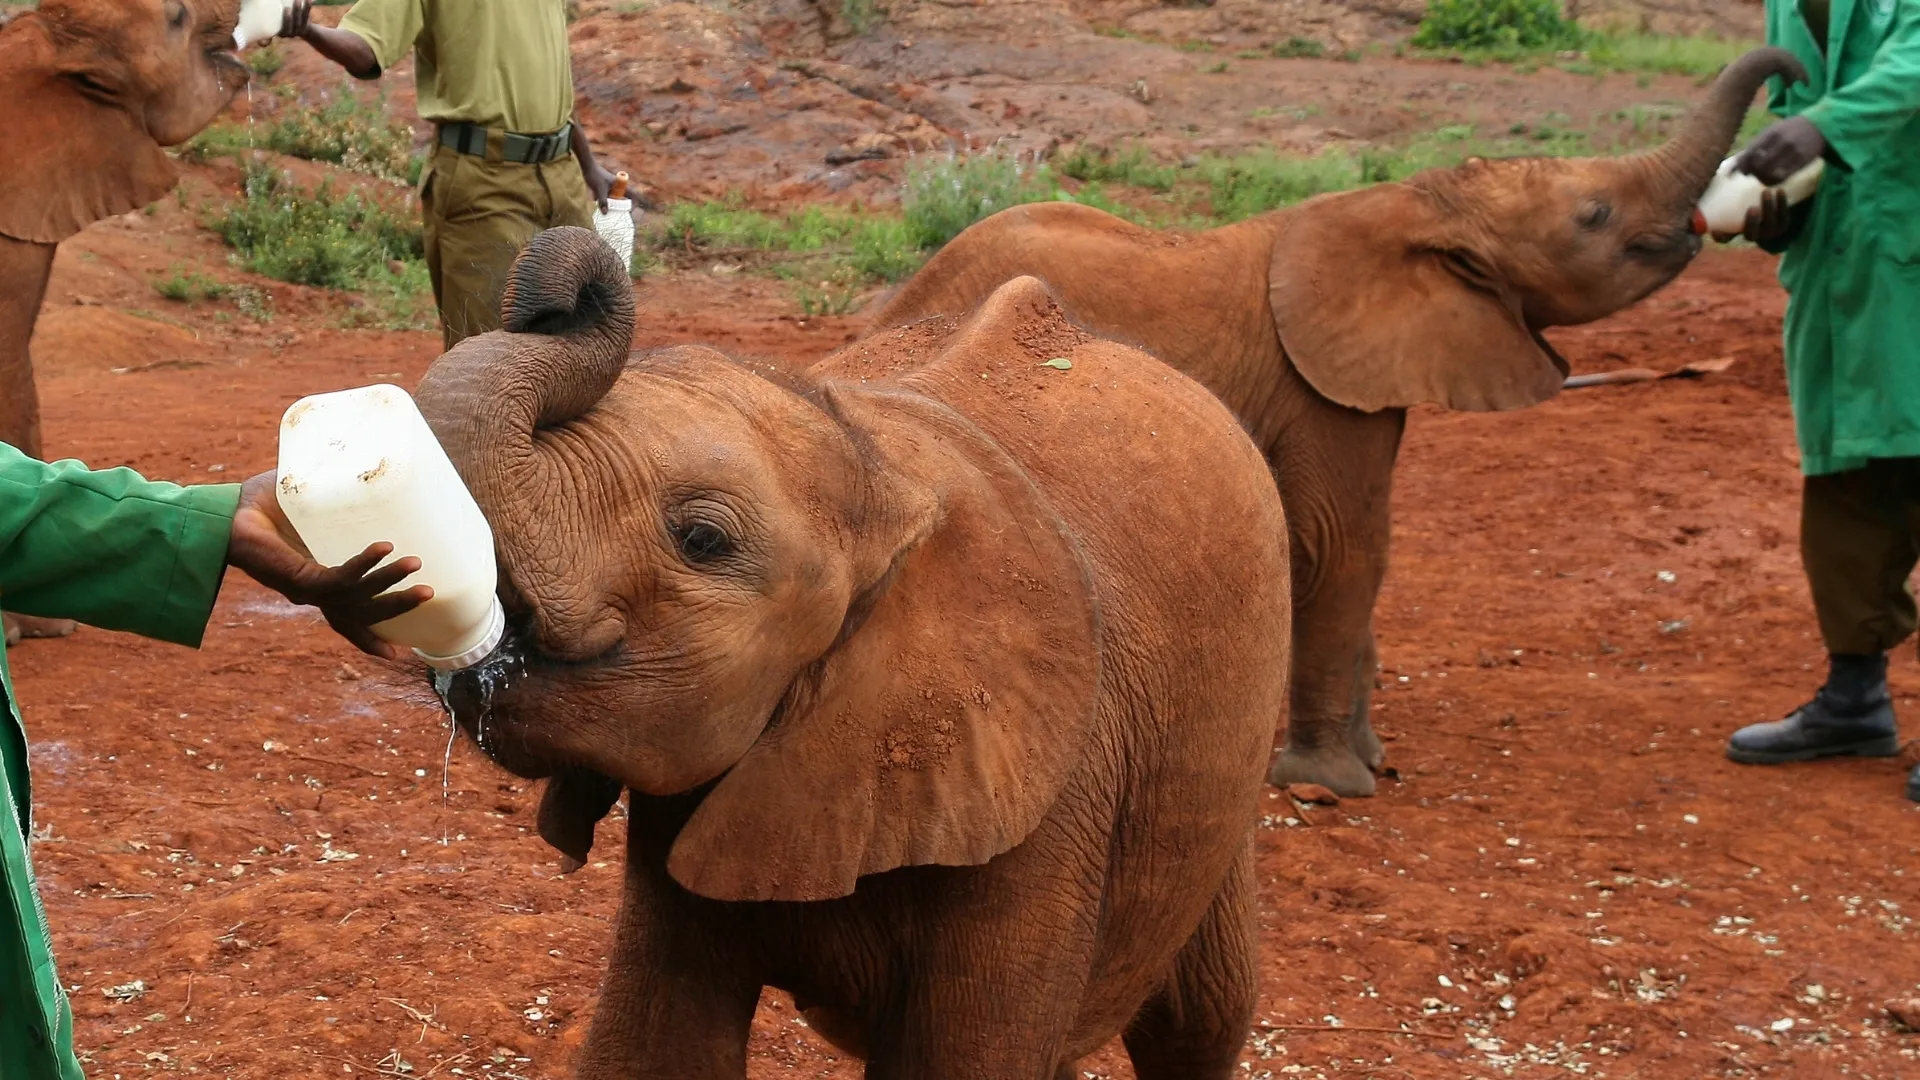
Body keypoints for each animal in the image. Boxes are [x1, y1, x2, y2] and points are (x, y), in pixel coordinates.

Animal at [418, 226, 1293, 1079]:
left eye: (702, 539)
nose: (563, 297)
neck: (882, 461)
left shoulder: (1050, 799)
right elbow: (653, 1049)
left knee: (1199, 1020)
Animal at [868, 46, 1808, 797]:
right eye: (1595, 216)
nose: (1794, 78)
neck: (1414, 204)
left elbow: (1370, 549)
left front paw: (1373, 759)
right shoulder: (1312, 383)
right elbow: (1342, 544)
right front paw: (1333, 786)